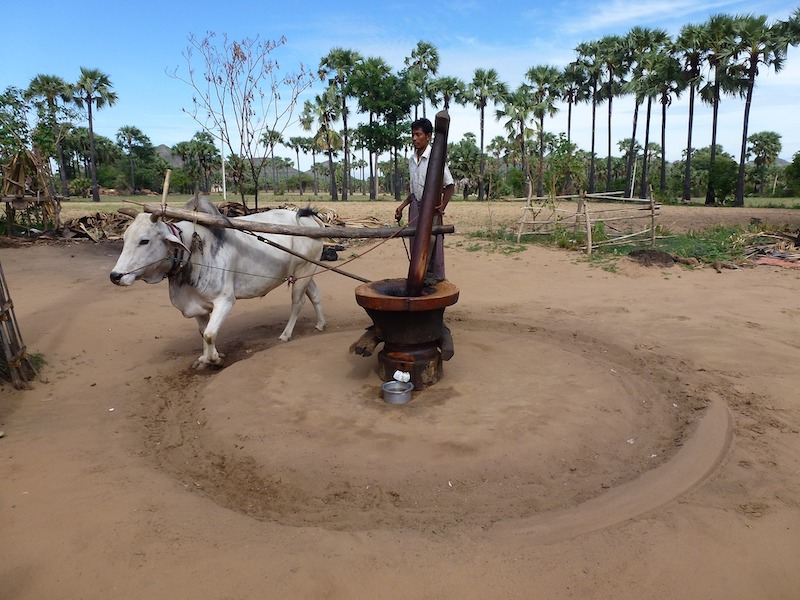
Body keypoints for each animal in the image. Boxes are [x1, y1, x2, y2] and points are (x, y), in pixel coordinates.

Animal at [109, 197, 324, 368]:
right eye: (125, 238)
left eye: (144, 241)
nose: (115, 276)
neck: (192, 252)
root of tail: (309, 218)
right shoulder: (197, 306)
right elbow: (203, 332)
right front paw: (206, 358)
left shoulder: (225, 301)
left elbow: (210, 334)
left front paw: (214, 359)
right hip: (305, 273)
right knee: (314, 295)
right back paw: (321, 324)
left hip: (303, 270)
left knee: (297, 302)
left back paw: (286, 334)